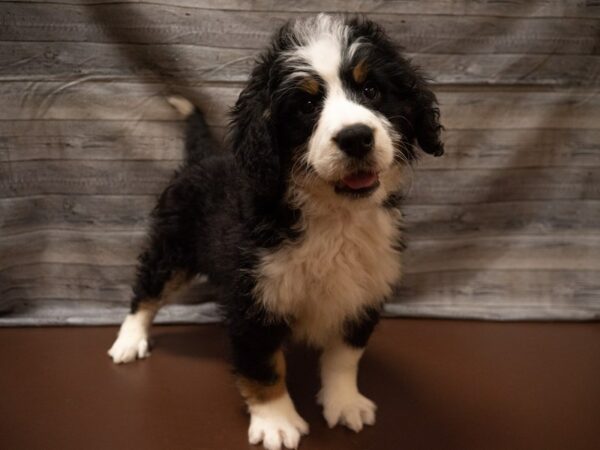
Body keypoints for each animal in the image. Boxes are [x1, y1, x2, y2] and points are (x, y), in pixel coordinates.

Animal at [110, 13, 442, 450]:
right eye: (306, 105)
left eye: (372, 90)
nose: (355, 137)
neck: (334, 217)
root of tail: (204, 157)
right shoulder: (253, 300)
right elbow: (264, 368)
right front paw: (276, 422)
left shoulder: (365, 289)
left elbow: (344, 357)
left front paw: (345, 403)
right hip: (173, 246)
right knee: (147, 290)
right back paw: (129, 340)